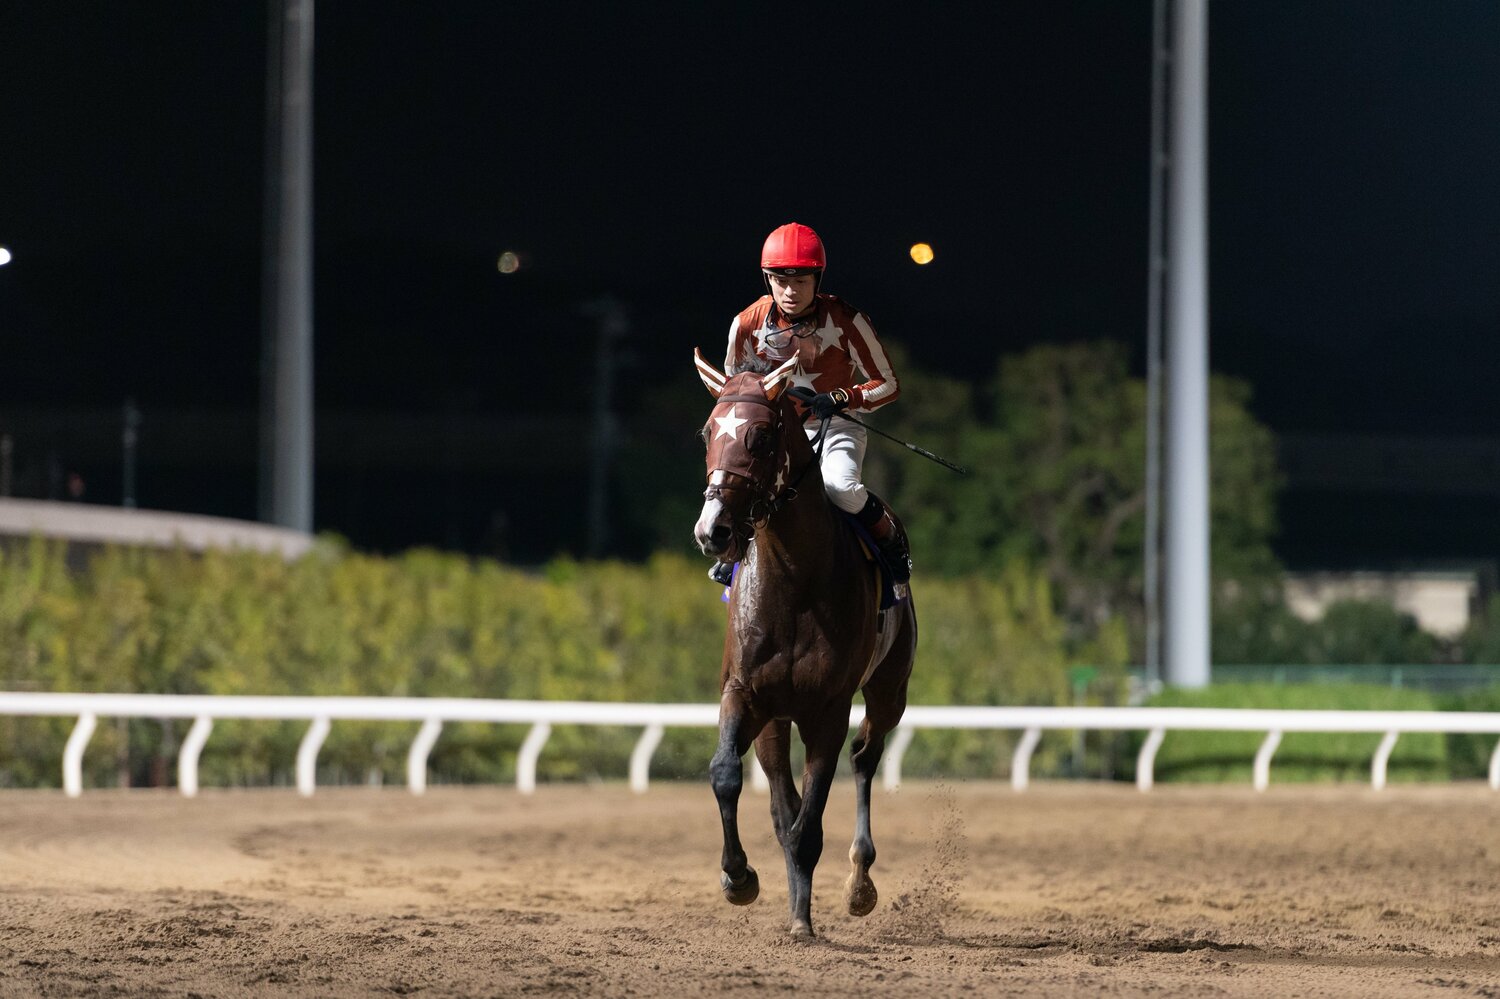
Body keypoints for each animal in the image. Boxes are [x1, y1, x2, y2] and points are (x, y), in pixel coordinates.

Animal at [690, 349, 918, 939]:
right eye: (708, 431)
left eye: (761, 437)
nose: (713, 530)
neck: (793, 579)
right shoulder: (744, 693)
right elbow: (728, 776)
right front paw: (738, 878)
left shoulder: (829, 709)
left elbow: (811, 818)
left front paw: (802, 919)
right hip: (775, 716)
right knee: (780, 797)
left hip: (890, 692)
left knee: (865, 757)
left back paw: (858, 883)